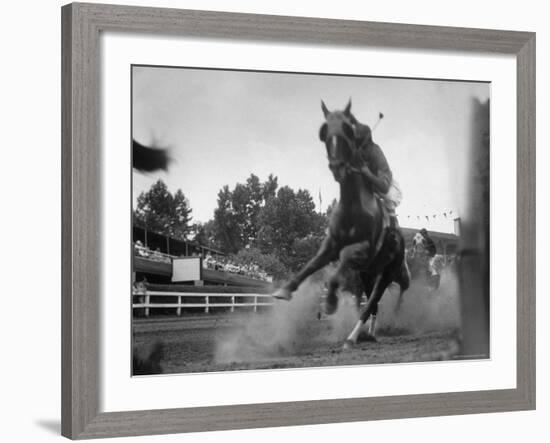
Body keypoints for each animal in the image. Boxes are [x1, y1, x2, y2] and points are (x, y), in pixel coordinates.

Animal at [274, 99, 410, 346]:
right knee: (374, 305)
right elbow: (313, 263)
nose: (337, 166)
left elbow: (340, 266)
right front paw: (285, 289)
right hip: (368, 274)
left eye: (348, 129)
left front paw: (330, 302)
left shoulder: (362, 249)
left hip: (387, 273)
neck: (353, 207)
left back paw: (352, 337)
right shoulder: (332, 243)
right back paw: (369, 334)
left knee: (372, 303)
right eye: (324, 131)